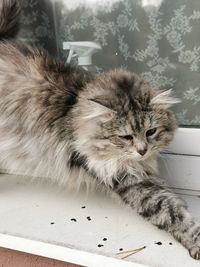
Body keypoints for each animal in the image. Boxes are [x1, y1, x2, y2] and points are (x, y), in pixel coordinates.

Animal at [0, 0, 200, 260]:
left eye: (150, 132)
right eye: (125, 137)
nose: (143, 151)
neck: (73, 108)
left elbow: (173, 201)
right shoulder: (126, 179)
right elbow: (172, 213)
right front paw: (196, 241)